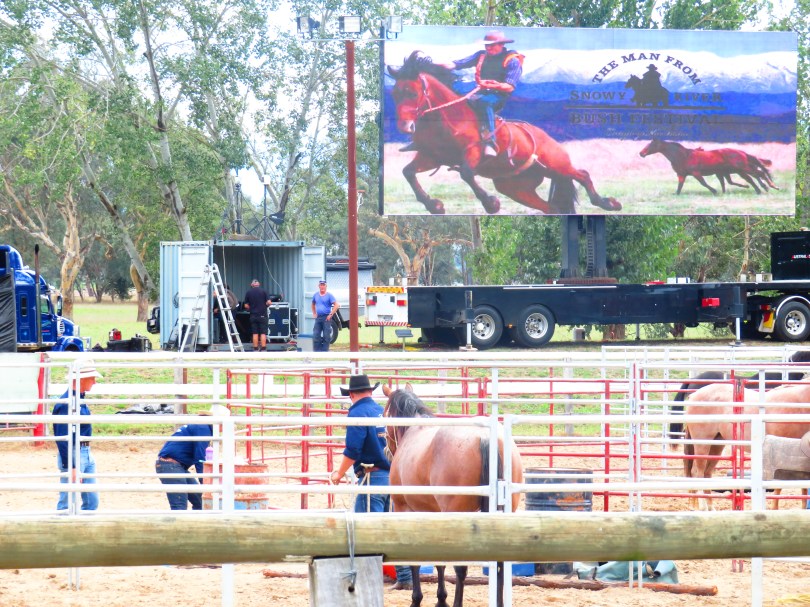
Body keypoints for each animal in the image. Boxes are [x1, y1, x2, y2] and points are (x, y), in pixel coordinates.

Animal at [382, 384, 523, 607]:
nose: (387, 451)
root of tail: (484, 436)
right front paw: (441, 599)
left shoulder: (406, 509)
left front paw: (418, 599)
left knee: (461, 568)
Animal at [388, 51, 622, 215]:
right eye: (395, 94)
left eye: (413, 92)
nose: (405, 126)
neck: (449, 120)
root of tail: (546, 137)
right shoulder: (431, 157)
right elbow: (408, 172)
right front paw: (434, 205)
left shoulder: (473, 153)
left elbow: (466, 173)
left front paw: (490, 203)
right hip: (517, 187)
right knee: (551, 207)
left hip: (557, 164)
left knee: (583, 175)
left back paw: (609, 203)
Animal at [639, 139, 777, 195]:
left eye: (651, 145)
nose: (641, 153)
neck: (683, 156)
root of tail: (741, 152)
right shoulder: (681, 175)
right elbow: (679, 187)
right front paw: (676, 194)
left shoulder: (696, 173)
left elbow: (703, 183)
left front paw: (714, 191)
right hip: (741, 170)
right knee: (753, 176)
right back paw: (761, 188)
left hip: (743, 169)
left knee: (758, 174)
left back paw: (768, 187)